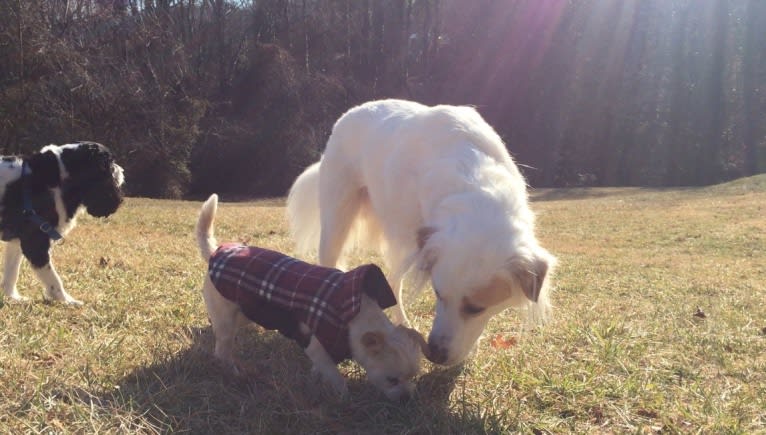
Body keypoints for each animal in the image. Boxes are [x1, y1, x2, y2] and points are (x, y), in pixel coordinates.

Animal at [1, 141, 124, 304]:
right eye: (109, 163)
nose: (121, 171)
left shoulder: (17, 240)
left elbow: (12, 272)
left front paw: (13, 298)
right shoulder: (35, 242)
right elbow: (54, 279)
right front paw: (67, 301)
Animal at [195, 196, 428, 400]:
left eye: (413, 377)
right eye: (392, 380)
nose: (407, 398)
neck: (355, 311)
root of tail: (215, 253)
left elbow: (321, 370)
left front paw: (316, 380)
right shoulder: (316, 347)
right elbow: (336, 378)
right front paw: (344, 397)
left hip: (244, 311)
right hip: (226, 320)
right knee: (222, 350)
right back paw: (233, 372)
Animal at [284, 100, 556, 366]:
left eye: (476, 308)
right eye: (437, 294)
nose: (434, 355)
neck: (475, 181)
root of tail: (350, 112)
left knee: (392, 281)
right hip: (337, 223)